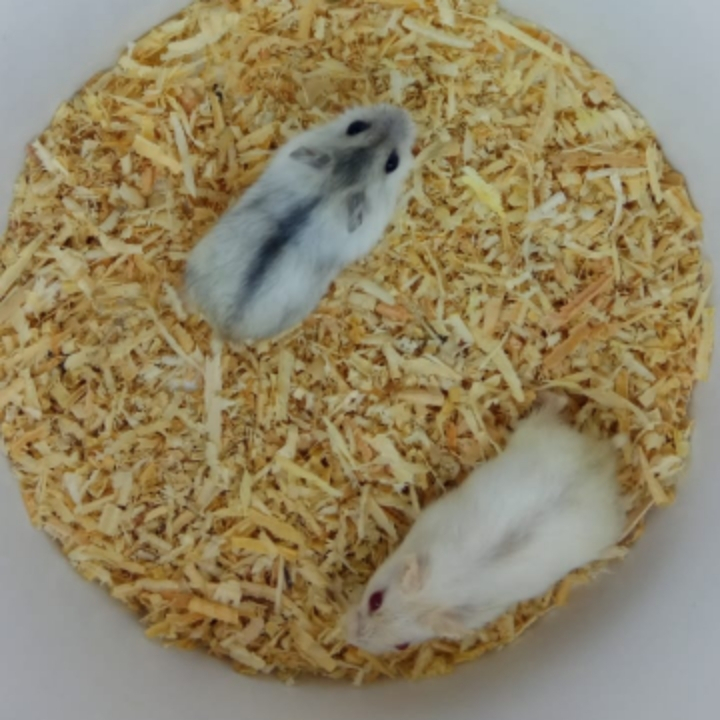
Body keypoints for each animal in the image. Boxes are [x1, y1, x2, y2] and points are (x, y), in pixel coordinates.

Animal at [345, 394, 626, 655]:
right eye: (375, 600)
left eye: (402, 645)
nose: (348, 637)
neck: (440, 588)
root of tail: (600, 458)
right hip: (536, 436)